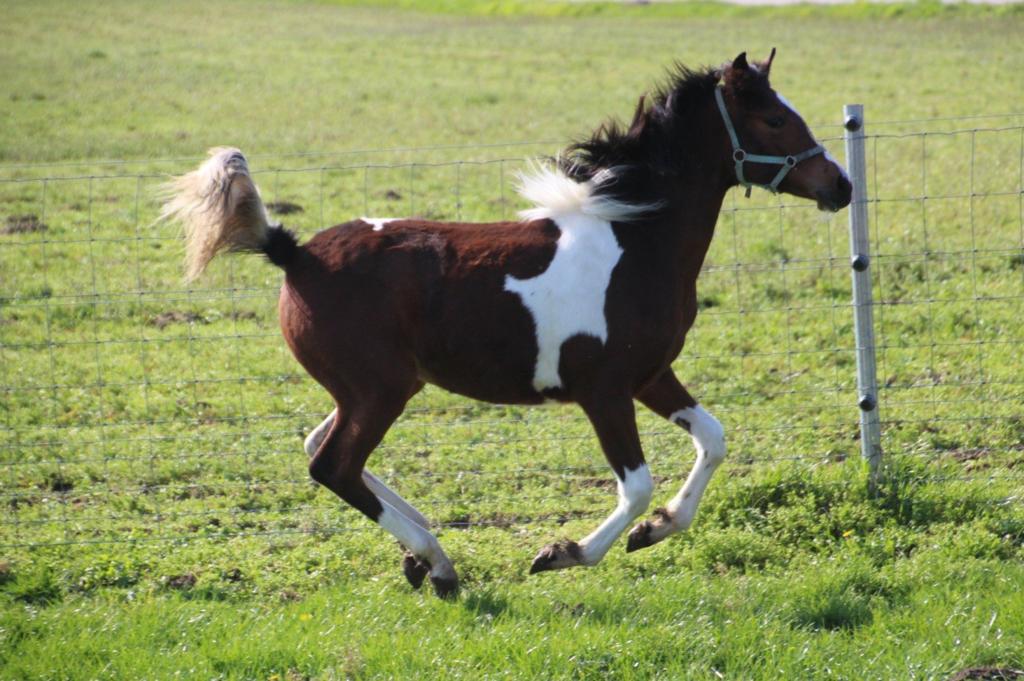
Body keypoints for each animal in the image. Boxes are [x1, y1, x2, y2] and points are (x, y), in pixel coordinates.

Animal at [162, 50, 852, 598]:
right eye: (775, 119)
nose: (839, 185)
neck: (635, 238)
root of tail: (294, 253)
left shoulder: (651, 375)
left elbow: (713, 439)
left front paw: (655, 532)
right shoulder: (604, 390)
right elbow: (635, 485)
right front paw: (562, 553)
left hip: (367, 388)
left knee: (321, 448)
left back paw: (421, 555)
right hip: (380, 389)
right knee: (333, 465)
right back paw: (438, 563)